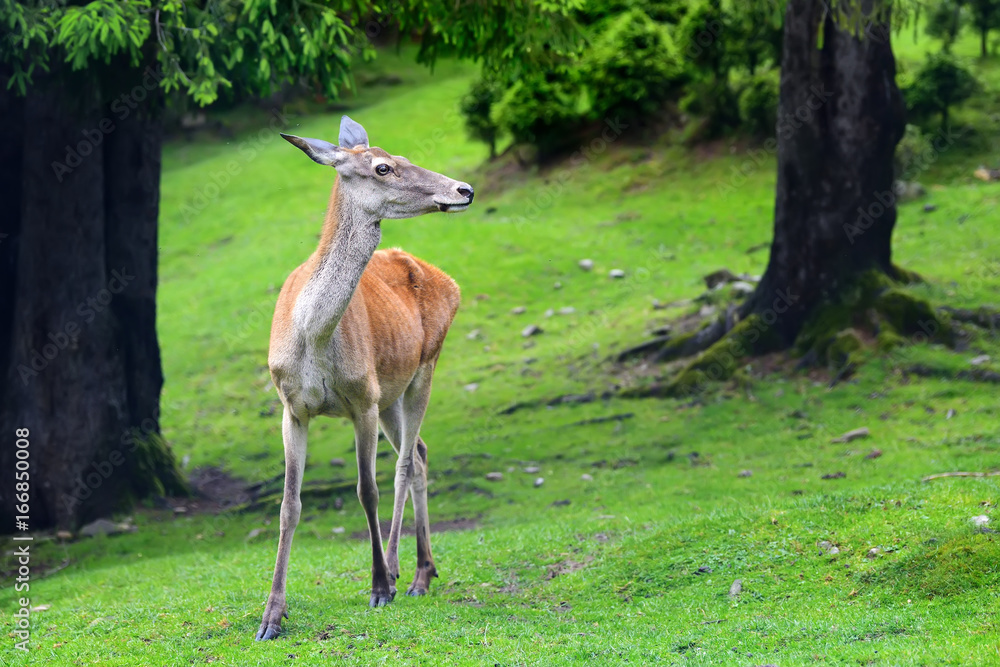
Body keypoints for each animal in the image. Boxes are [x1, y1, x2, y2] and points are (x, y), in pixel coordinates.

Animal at [258, 116, 476, 640]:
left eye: (401, 157)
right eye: (383, 167)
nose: (464, 189)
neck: (313, 338)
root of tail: (451, 282)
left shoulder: (362, 399)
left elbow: (366, 489)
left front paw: (377, 586)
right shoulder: (291, 407)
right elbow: (289, 504)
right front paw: (271, 615)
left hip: (423, 369)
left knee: (405, 464)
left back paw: (406, 574)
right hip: (393, 394)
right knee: (419, 453)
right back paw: (420, 570)